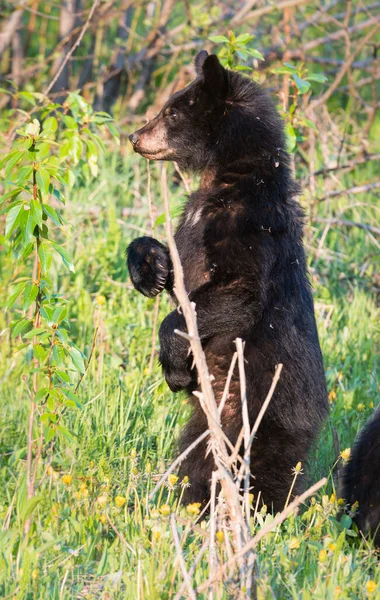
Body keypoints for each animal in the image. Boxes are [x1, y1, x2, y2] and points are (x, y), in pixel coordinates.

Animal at [126, 52, 328, 510]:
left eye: (172, 112)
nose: (135, 136)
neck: (228, 176)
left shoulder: (249, 221)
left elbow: (239, 289)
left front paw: (174, 366)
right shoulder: (192, 219)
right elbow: (175, 260)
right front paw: (150, 268)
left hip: (254, 413)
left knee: (252, 471)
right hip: (209, 421)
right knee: (200, 459)